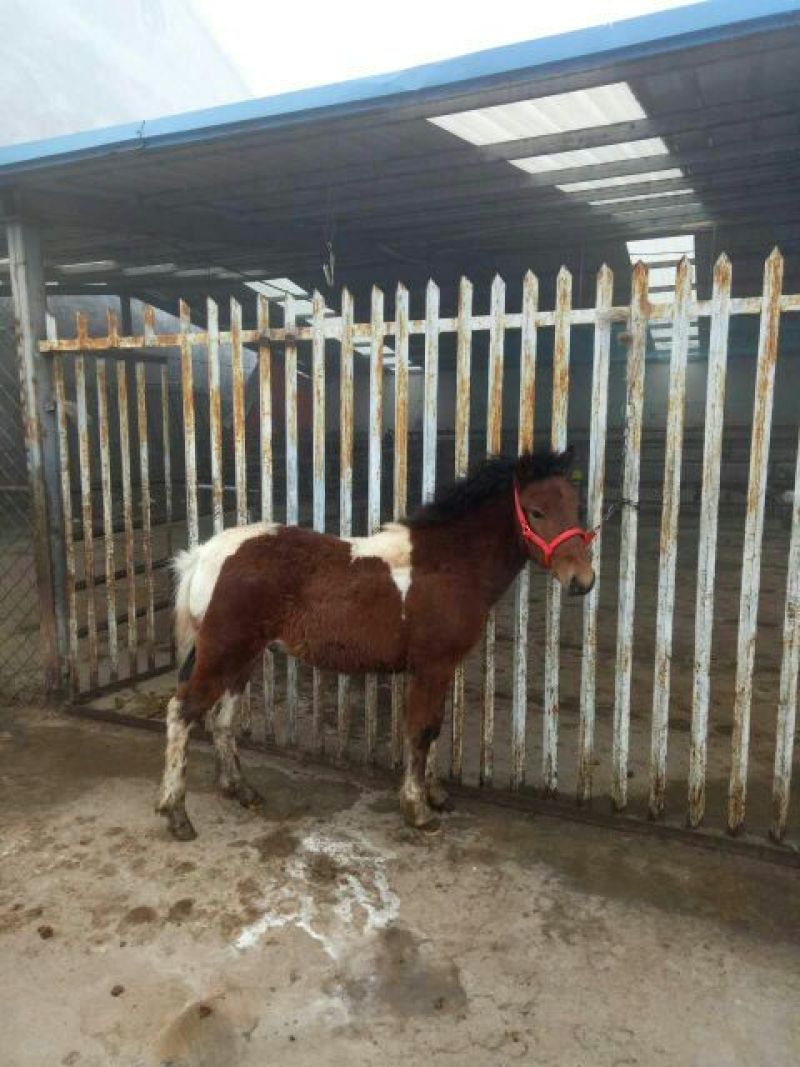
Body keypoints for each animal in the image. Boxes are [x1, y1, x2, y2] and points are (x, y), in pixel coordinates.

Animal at [156, 447, 596, 840]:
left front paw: (434, 795)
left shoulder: (436, 669)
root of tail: (203, 554)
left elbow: (433, 728)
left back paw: (240, 790)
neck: (447, 564)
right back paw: (176, 814)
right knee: (183, 711)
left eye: (575, 506)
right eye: (536, 512)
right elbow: (420, 731)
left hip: (243, 655)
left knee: (221, 718)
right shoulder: (432, 666)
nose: (583, 580)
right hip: (223, 652)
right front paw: (418, 811)